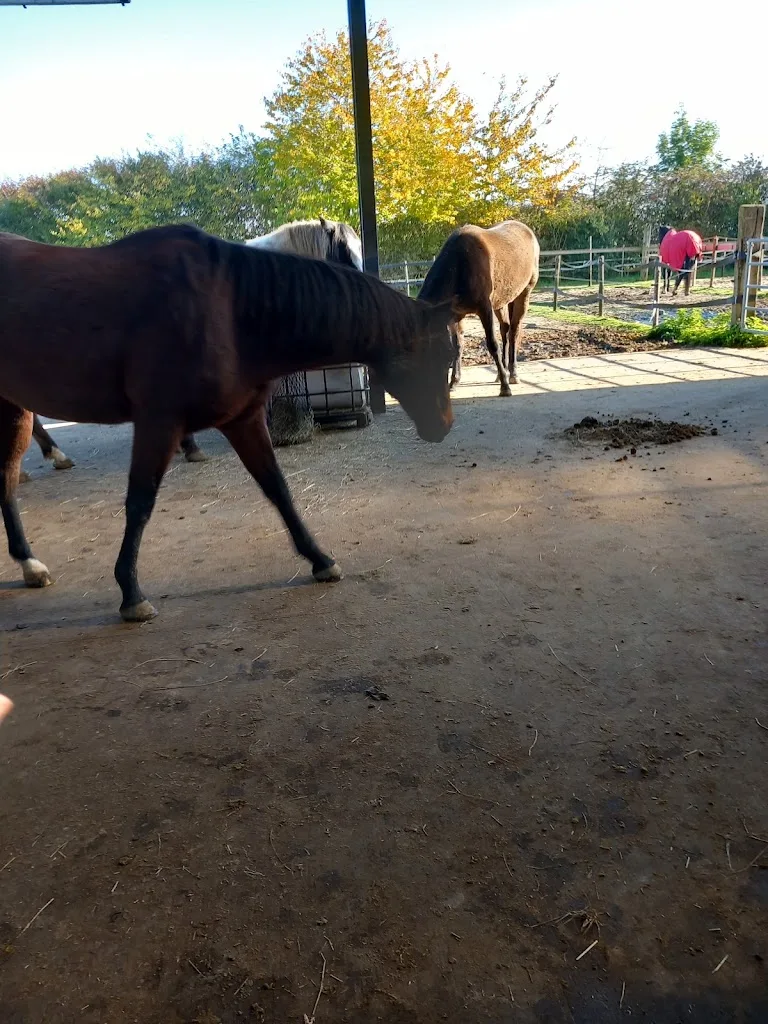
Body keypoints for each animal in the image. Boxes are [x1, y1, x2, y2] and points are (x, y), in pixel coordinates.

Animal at [0, 224, 455, 622]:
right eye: (441, 357)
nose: (444, 425)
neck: (231, 310)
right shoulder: (158, 422)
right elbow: (140, 503)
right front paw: (131, 593)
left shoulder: (243, 420)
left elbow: (278, 488)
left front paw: (319, 559)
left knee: (5, 482)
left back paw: (30, 563)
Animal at [418, 220, 540, 396]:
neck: (459, 266)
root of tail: (527, 230)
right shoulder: (455, 315)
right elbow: (457, 346)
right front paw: (454, 382)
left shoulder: (484, 309)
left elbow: (492, 345)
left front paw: (505, 387)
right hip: (501, 301)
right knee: (505, 329)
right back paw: (501, 373)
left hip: (524, 294)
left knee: (514, 332)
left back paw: (512, 374)